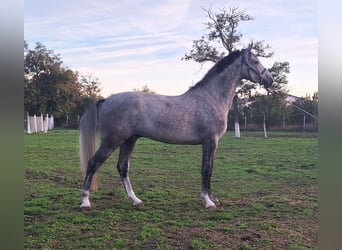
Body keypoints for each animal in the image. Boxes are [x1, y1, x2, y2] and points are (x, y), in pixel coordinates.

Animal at [79, 43, 272, 209]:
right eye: (255, 61)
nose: (270, 80)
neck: (211, 97)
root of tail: (107, 100)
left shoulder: (212, 143)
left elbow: (210, 169)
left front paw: (213, 198)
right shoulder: (210, 141)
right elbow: (206, 170)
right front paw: (208, 201)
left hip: (129, 140)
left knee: (122, 167)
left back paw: (136, 200)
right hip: (112, 141)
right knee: (93, 163)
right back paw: (85, 202)